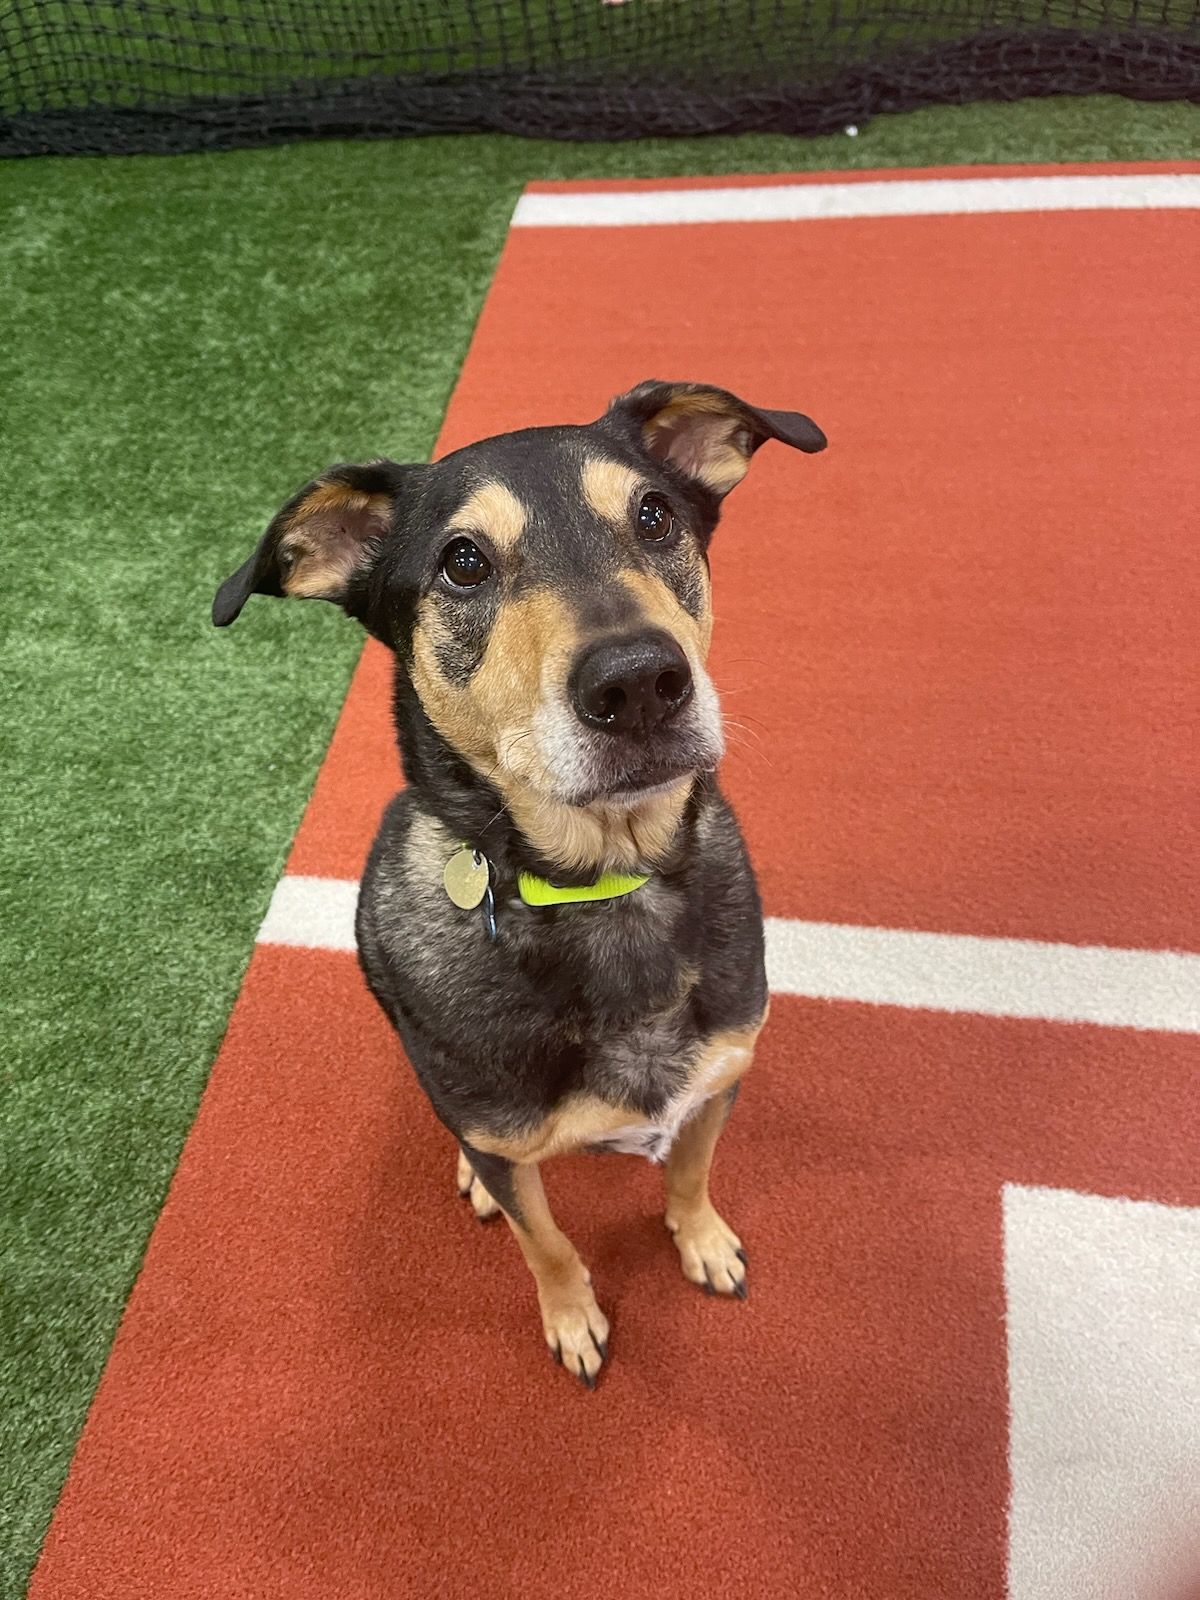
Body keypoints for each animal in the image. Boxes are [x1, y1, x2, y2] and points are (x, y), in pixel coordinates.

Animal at [216, 380, 825, 1382]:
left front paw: (700, 1238)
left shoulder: (719, 1078)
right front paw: (573, 1315)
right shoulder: (510, 1148)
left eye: (655, 515)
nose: (639, 683)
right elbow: (545, 1241)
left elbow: (691, 1170)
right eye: (463, 562)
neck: (607, 887)